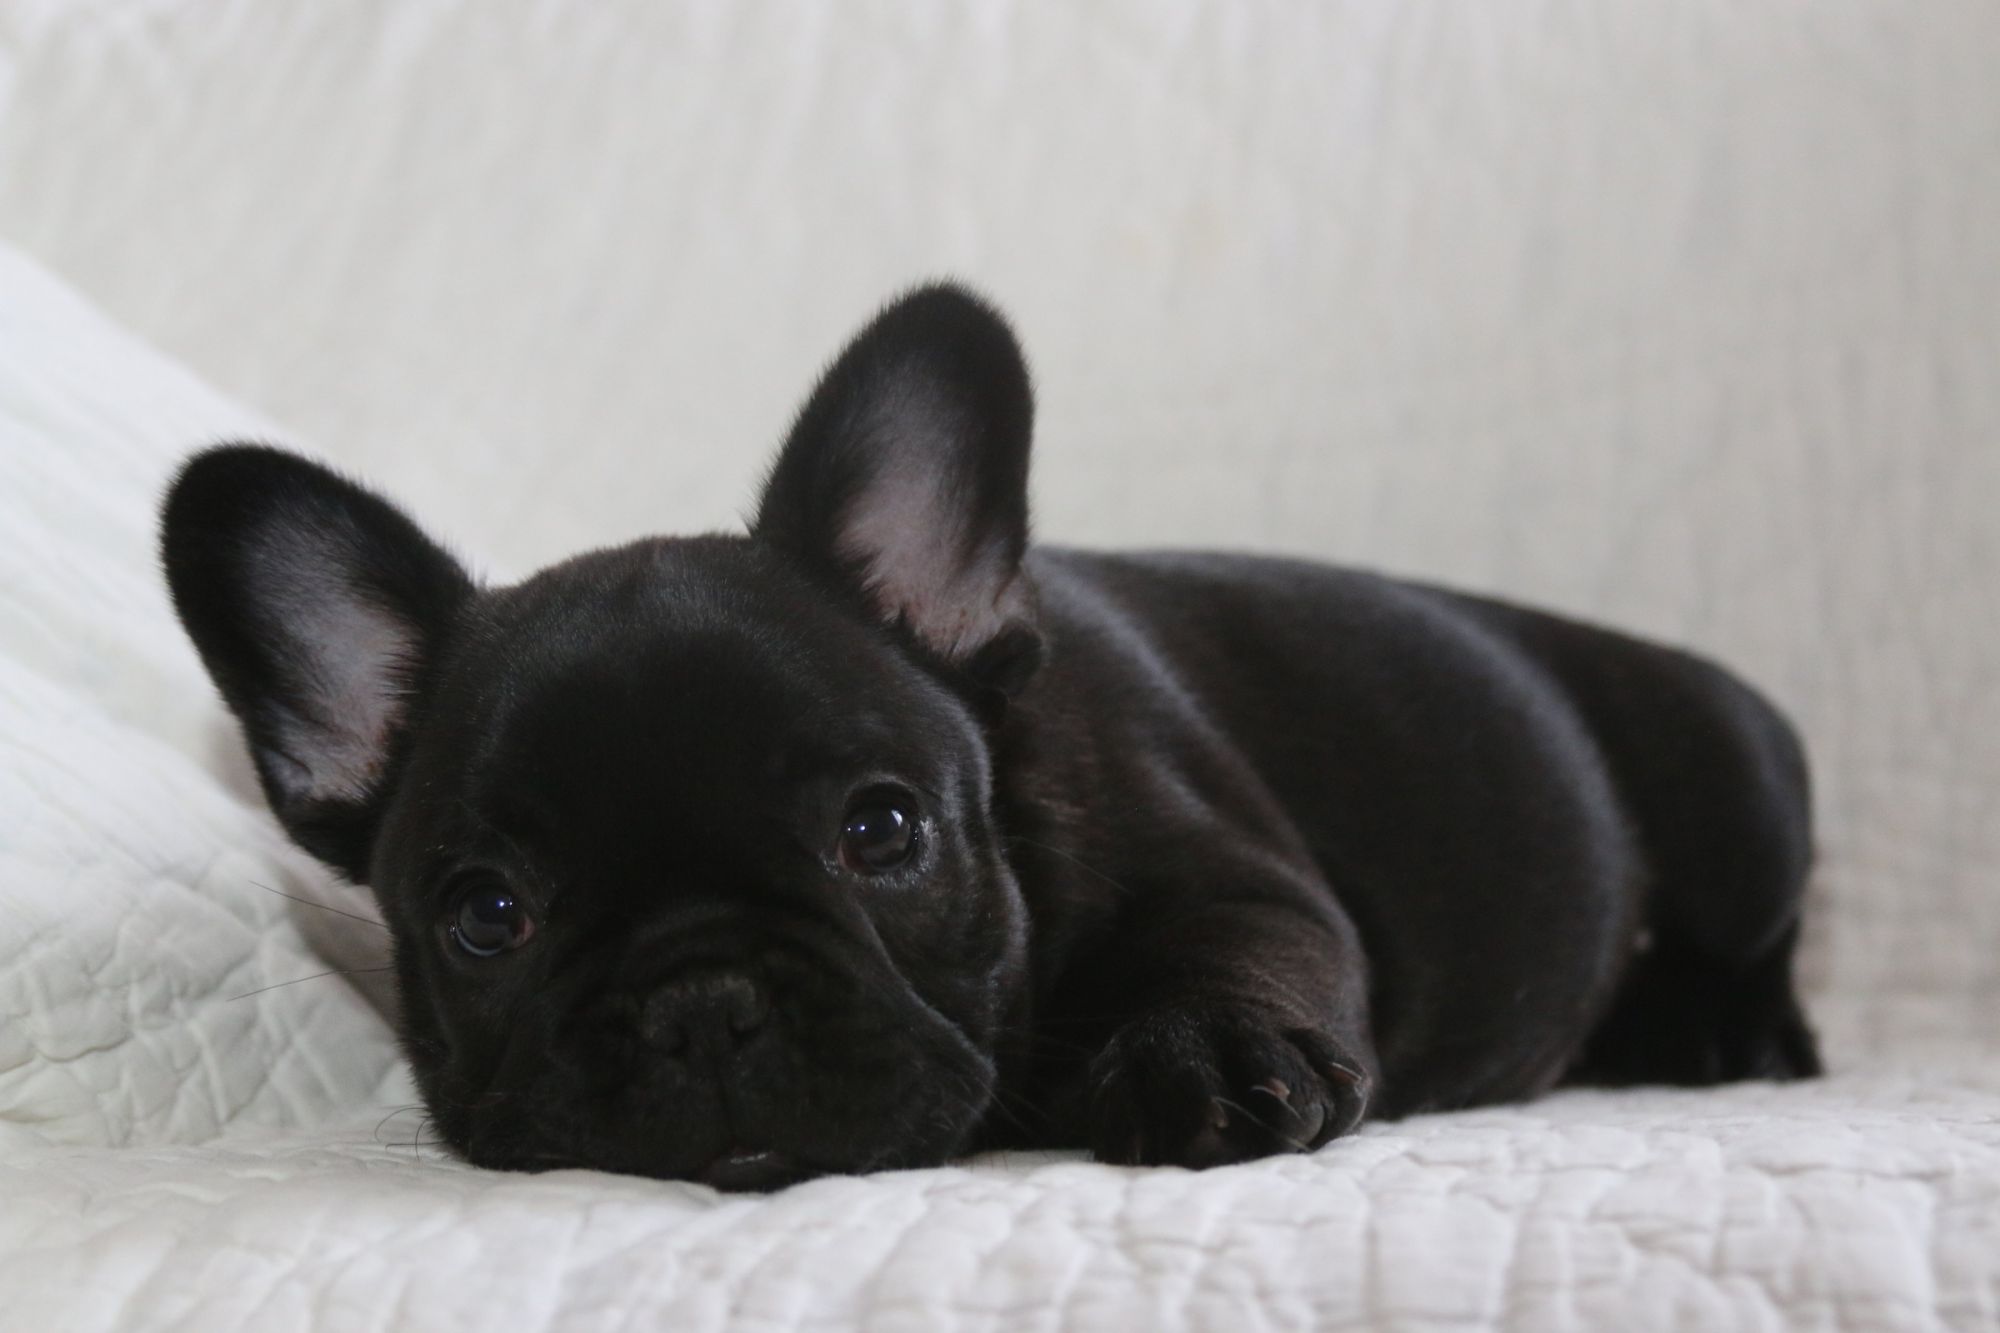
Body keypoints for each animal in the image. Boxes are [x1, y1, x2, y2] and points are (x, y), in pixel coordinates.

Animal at [161, 284, 1820, 1190]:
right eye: (485, 916)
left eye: (883, 831)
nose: (702, 1002)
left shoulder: (1244, 882)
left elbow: (1231, 953)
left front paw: (1208, 1053)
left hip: (1738, 783)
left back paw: (1725, 1031)